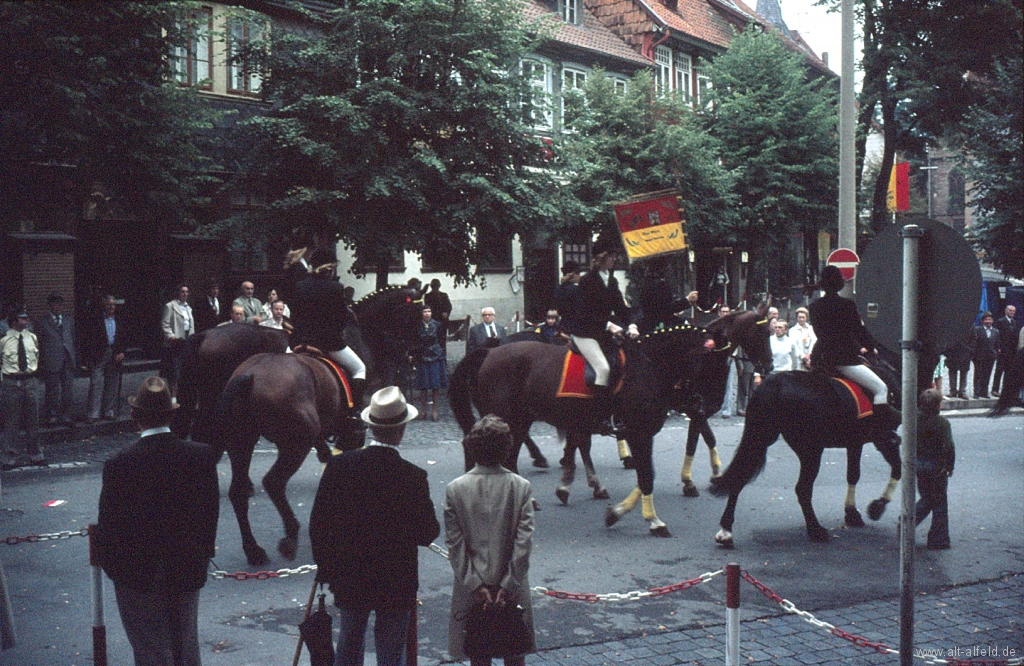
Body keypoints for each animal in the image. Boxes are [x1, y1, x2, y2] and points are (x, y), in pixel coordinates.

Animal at [450, 323, 712, 532]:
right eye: (707, 363)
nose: (701, 406)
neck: (646, 367)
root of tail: (489, 351)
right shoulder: (639, 432)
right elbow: (646, 476)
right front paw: (652, 521)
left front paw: (608, 507)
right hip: (508, 421)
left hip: (518, 421)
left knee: (504, 457)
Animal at [712, 352, 905, 545]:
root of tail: (773, 384)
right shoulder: (881, 440)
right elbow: (897, 468)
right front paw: (877, 507)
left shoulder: (855, 442)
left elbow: (853, 475)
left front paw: (852, 513)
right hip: (811, 451)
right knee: (803, 489)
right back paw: (816, 530)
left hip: (761, 438)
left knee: (740, 476)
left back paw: (726, 530)